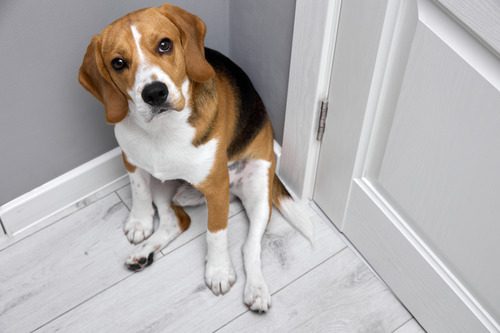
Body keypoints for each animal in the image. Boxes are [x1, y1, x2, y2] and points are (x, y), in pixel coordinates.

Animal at [78, 3, 310, 312]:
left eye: (165, 44)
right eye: (118, 63)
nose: (154, 93)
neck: (162, 131)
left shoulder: (216, 187)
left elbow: (216, 233)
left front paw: (219, 271)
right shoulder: (133, 162)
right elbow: (138, 193)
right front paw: (140, 222)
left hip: (258, 190)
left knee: (249, 246)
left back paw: (257, 289)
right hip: (163, 184)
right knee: (177, 221)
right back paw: (144, 253)